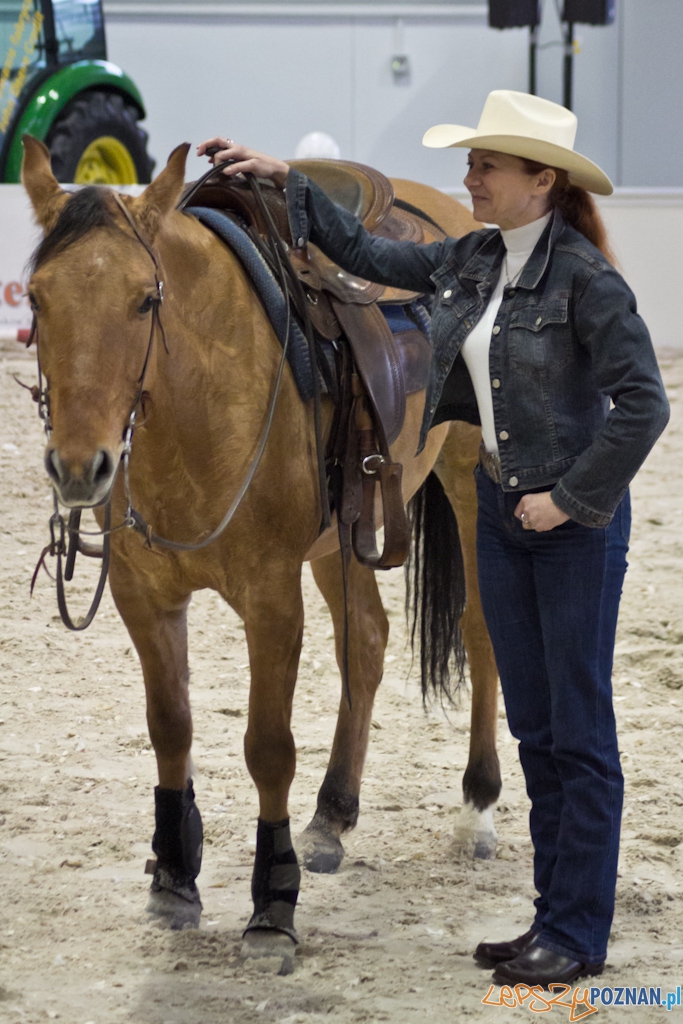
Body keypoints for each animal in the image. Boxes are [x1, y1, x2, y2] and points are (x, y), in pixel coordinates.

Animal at [21, 136, 501, 966]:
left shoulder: (271, 596)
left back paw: (476, 806)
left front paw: (272, 904)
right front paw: (173, 875)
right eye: (39, 300)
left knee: (479, 628)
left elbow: (267, 746)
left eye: (144, 299)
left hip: (471, 484)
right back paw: (332, 813)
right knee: (365, 641)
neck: (198, 397)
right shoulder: (145, 596)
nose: (80, 468)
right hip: (344, 534)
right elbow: (170, 725)